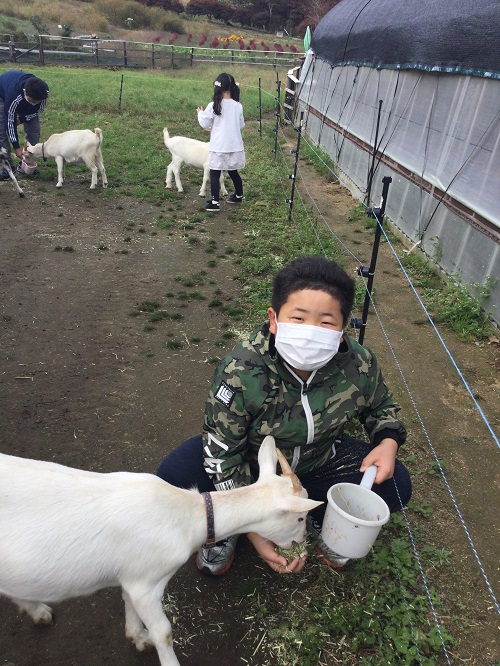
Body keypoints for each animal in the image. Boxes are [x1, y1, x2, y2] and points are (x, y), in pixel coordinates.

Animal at [0, 436, 320, 664]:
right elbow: (164, 632)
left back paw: (37, 610)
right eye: (300, 517)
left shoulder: (132, 575)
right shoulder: (146, 582)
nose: (300, 544)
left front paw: (137, 637)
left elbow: (127, 600)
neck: (188, 515)